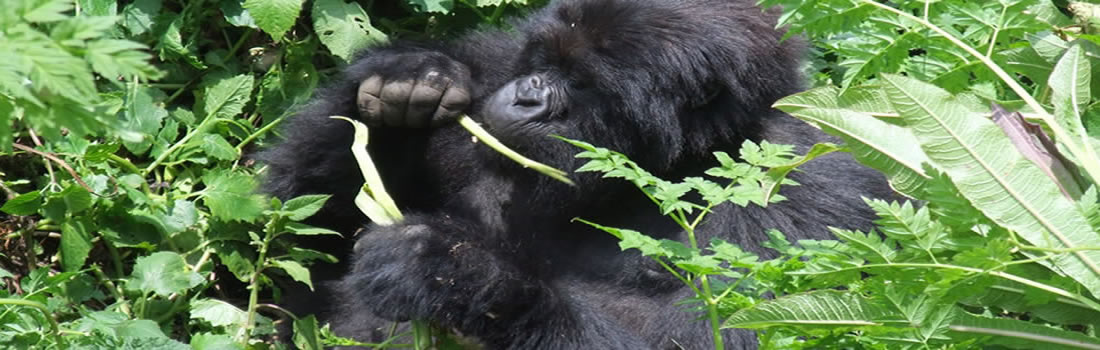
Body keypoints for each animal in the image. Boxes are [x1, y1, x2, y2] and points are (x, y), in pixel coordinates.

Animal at [257, 0, 893, 347]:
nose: (527, 96)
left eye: (582, 81)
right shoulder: (494, 62)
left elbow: (730, 331)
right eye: (545, 61)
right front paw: (406, 79)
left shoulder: (813, 183)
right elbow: (295, 236)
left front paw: (450, 272)